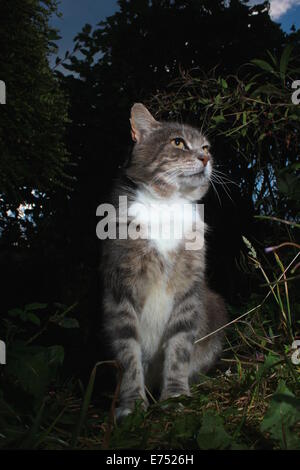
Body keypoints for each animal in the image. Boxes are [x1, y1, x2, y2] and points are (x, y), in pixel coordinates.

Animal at [101, 103, 227, 418]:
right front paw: (132, 406)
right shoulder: (121, 287)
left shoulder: (189, 289)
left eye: (206, 146)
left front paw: (176, 397)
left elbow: (179, 348)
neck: (167, 205)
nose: (206, 158)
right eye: (178, 142)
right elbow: (129, 354)